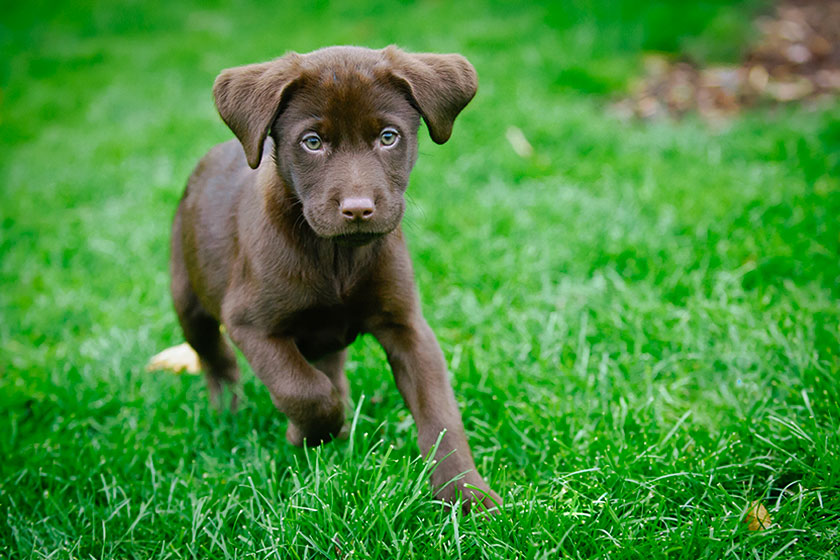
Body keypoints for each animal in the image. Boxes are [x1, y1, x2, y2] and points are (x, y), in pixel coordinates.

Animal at [168, 47, 502, 512]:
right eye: (312, 142)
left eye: (388, 137)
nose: (358, 209)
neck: (336, 256)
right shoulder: (251, 323)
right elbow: (303, 390)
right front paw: (303, 434)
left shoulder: (408, 327)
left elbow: (440, 414)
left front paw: (466, 494)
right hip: (188, 298)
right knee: (216, 358)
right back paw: (226, 414)